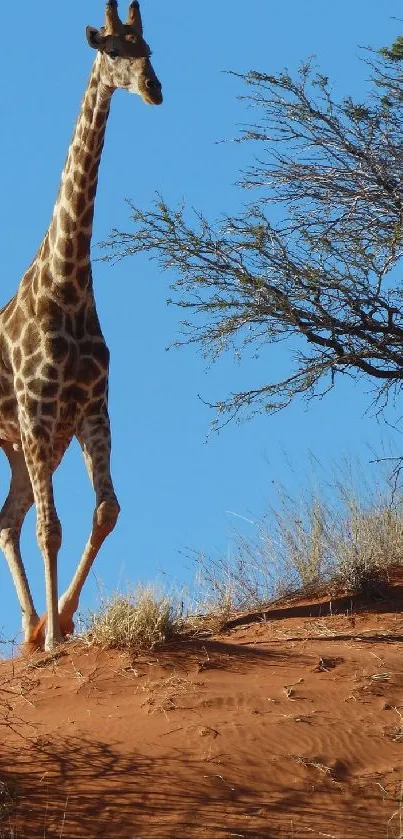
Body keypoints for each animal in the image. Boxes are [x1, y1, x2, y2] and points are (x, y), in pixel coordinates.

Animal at [0, 0, 163, 652]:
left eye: (150, 48)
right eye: (113, 49)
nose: (155, 89)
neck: (65, 285)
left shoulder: (92, 406)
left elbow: (105, 511)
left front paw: (60, 622)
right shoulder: (39, 411)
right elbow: (52, 526)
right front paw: (52, 642)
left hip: (19, 447)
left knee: (6, 520)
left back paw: (28, 625)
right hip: (22, 437)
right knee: (20, 521)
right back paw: (32, 631)